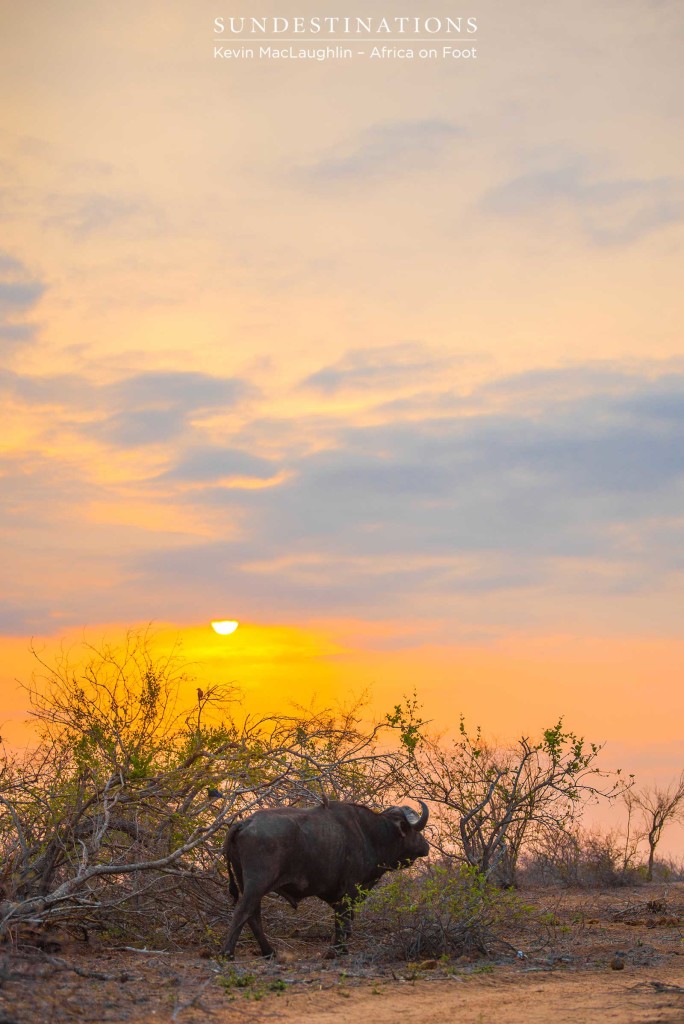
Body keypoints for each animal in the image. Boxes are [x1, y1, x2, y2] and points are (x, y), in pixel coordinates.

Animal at [223, 794, 428, 954]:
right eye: (415, 831)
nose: (426, 847)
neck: (370, 833)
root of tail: (244, 823)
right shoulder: (350, 888)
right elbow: (343, 919)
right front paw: (337, 951)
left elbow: (344, 919)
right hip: (257, 884)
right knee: (243, 912)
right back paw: (228, 952)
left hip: (245, 882)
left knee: (253, 915)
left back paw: (268, 952)